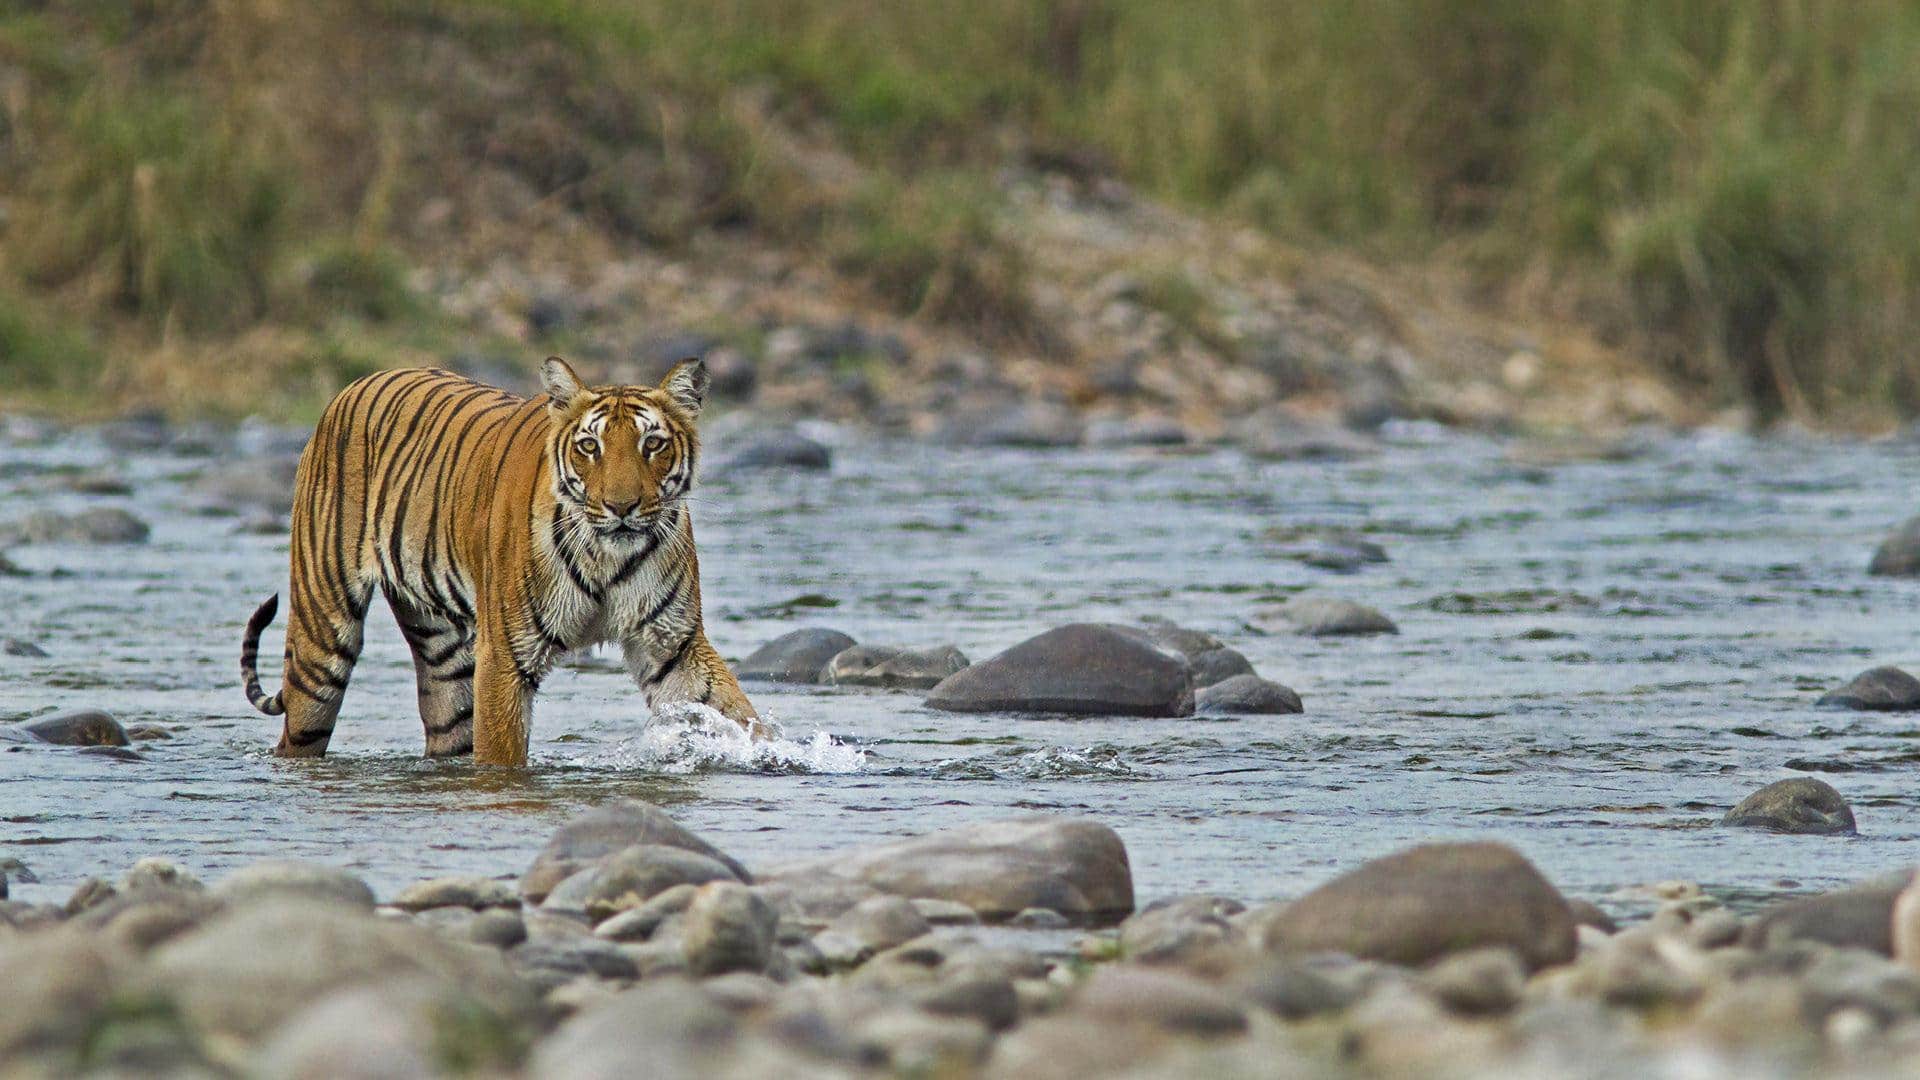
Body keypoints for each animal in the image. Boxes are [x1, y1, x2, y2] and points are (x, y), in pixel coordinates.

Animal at [239, 356, 760, 766]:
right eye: (589, 446)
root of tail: (353, 385)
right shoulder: (506, 656)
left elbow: (737, 713)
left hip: (443, 658)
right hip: (322, 638)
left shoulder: (672, 644)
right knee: (299, 728)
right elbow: (501, 757)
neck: (606, 557)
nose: (621, 507)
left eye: (652, 444)